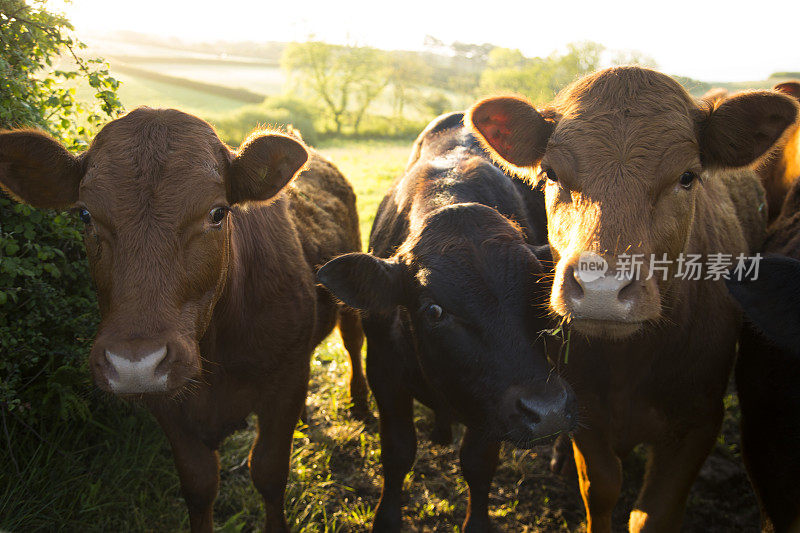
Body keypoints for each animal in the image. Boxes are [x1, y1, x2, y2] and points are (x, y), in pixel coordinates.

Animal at [0, 106, 368, 528]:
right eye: (85, 215)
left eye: (217, 213)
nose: (134, 363)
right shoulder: (170, 407)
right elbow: (199, 483)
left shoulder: (286, 380)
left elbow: (269, 473)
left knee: (353, 341)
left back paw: (360, 404)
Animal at [466, 67, 796, 532]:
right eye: (551, 173)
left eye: (687, 176)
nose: (602, 289)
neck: (628, 364)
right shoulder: (586, 409)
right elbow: (601, 488)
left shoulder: (698, 423)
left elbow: (652, 514)